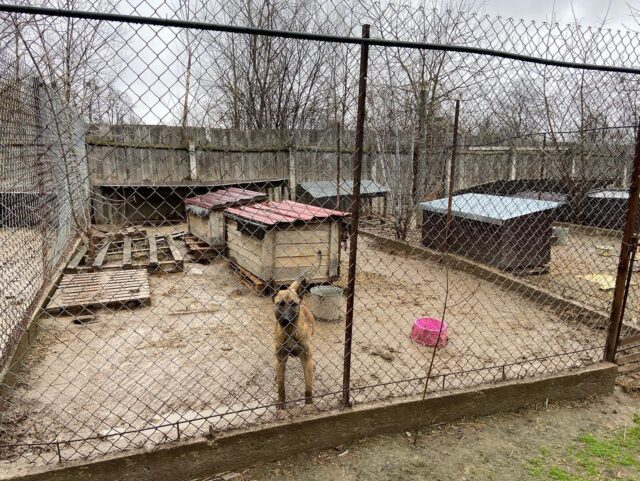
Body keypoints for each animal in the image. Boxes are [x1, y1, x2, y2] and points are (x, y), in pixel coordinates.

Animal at [272, 278, 316, 408]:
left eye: (293, 304)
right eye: (281, 303)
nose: (286, 320)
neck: (290, 332)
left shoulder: (306, 358)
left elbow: (308, 387)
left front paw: (309, 403)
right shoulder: (281, 358)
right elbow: (281, 387)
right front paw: (281, 402)